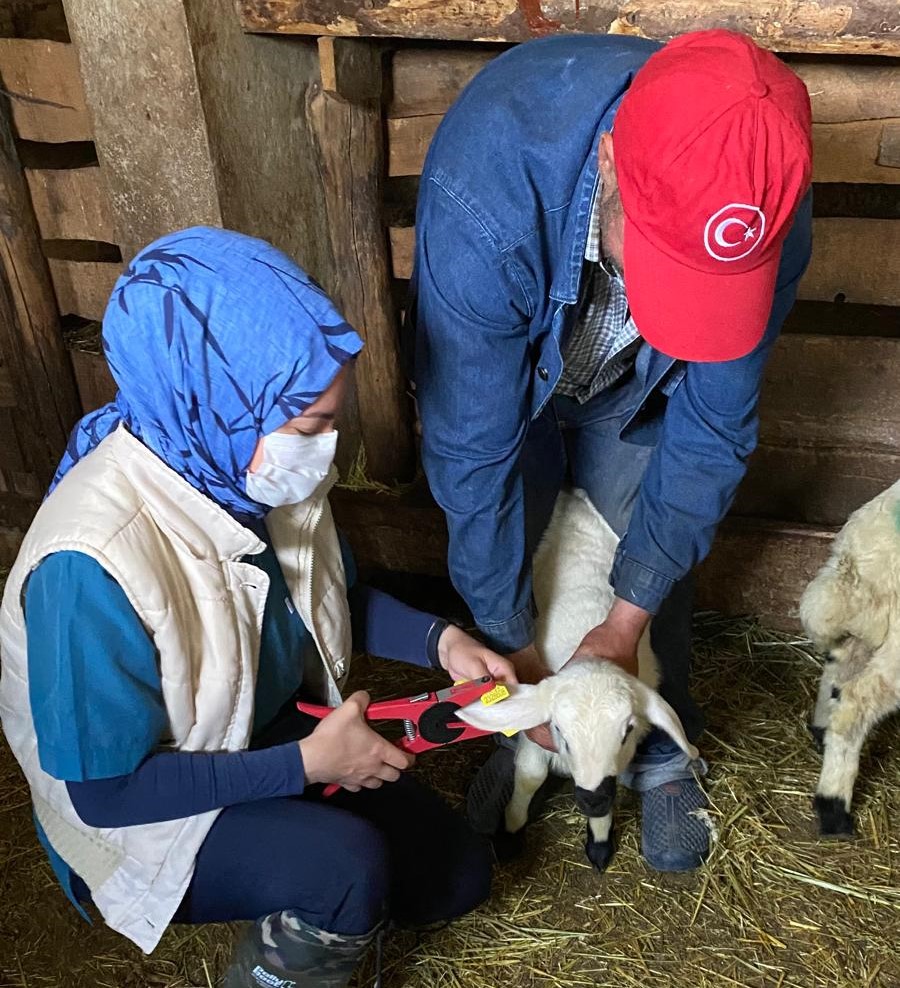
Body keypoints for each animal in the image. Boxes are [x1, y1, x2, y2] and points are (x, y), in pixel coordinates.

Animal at [458, 490, 696, 868]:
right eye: (560, 731)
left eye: (627, 730)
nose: (592, 798)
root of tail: (574, 500)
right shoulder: (535, 734)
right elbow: (530, 776)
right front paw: (510, 831)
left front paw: (599, 839)